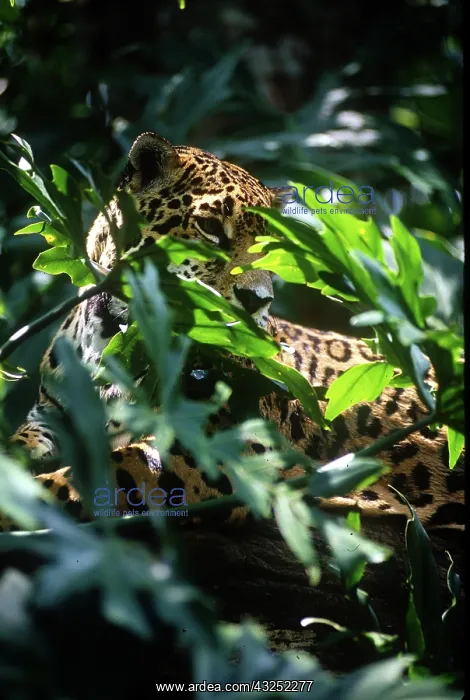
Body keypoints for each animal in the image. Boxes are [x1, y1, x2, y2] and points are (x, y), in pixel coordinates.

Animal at [1, 131, 464, 547]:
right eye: (209, 227)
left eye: (269, 246)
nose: (257, 299)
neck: (119, 335)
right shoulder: (53, 414)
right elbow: (23, 442)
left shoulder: (221, 449)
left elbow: (106, 470)